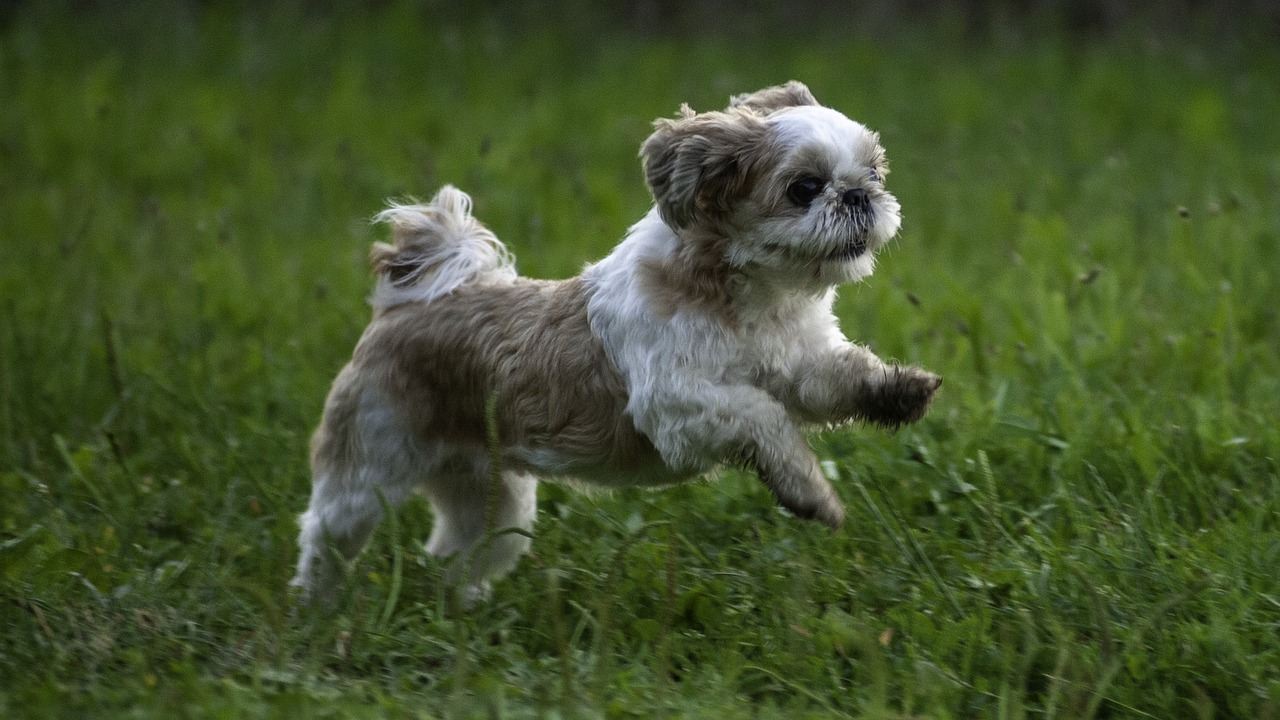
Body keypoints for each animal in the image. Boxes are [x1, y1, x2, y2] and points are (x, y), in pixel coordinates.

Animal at [294, 81, 947, 602]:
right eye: (805, 188)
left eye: (875, 172)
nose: (859, 194)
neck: (751, 299)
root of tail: (407, 304)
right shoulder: (678, 404)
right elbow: (766, 422)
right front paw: (809, 495)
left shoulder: (797, 361)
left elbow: (838, 379)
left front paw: (899, 390)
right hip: (367, 470)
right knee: (325, 534)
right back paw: (317, 610)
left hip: (492, 498)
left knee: (462, 552)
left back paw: (462, 611)